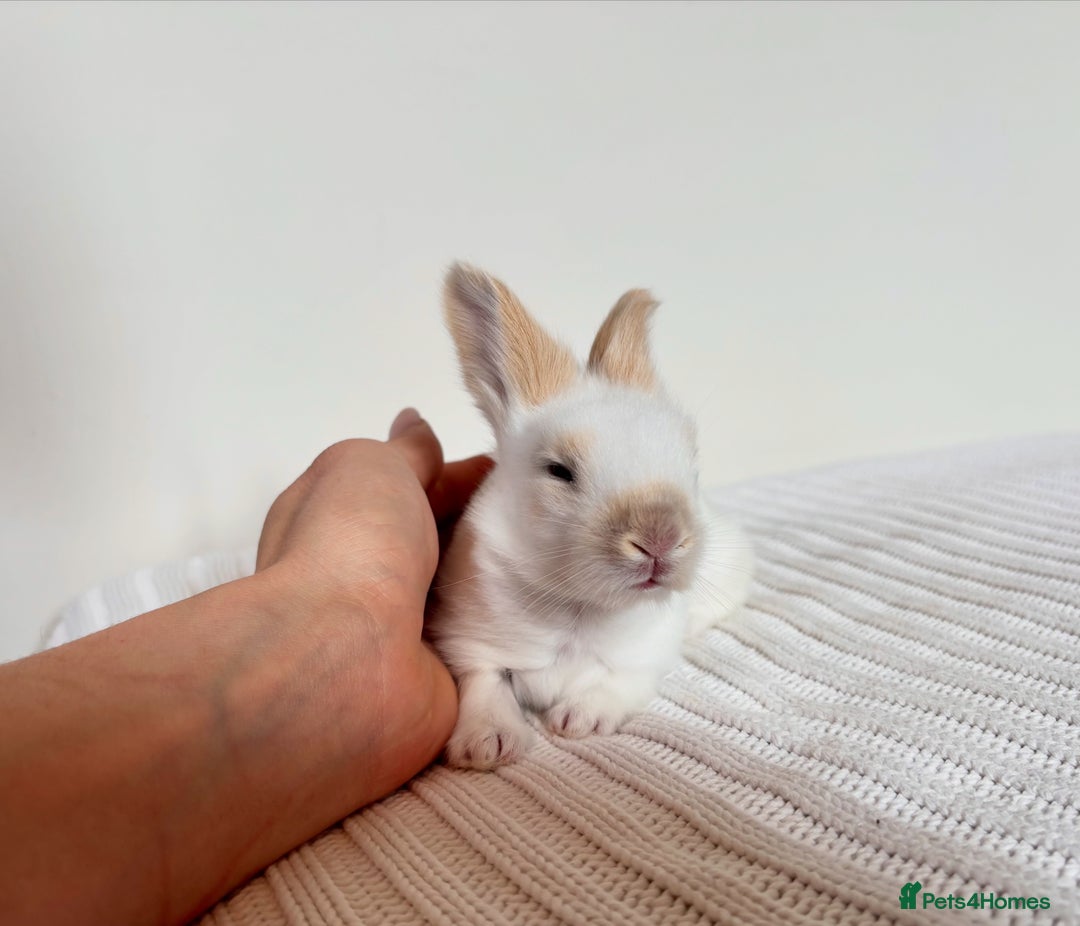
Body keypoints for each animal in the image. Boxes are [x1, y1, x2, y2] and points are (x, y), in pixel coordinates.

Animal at [427, 262, 753, 770]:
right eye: (559, 471)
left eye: (692, 467)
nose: (660, 539)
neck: (579, 608)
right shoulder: (469, 643)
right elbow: (485, 683)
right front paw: (488, 745)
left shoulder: (645, 660)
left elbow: (618, 683)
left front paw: (577, 720)